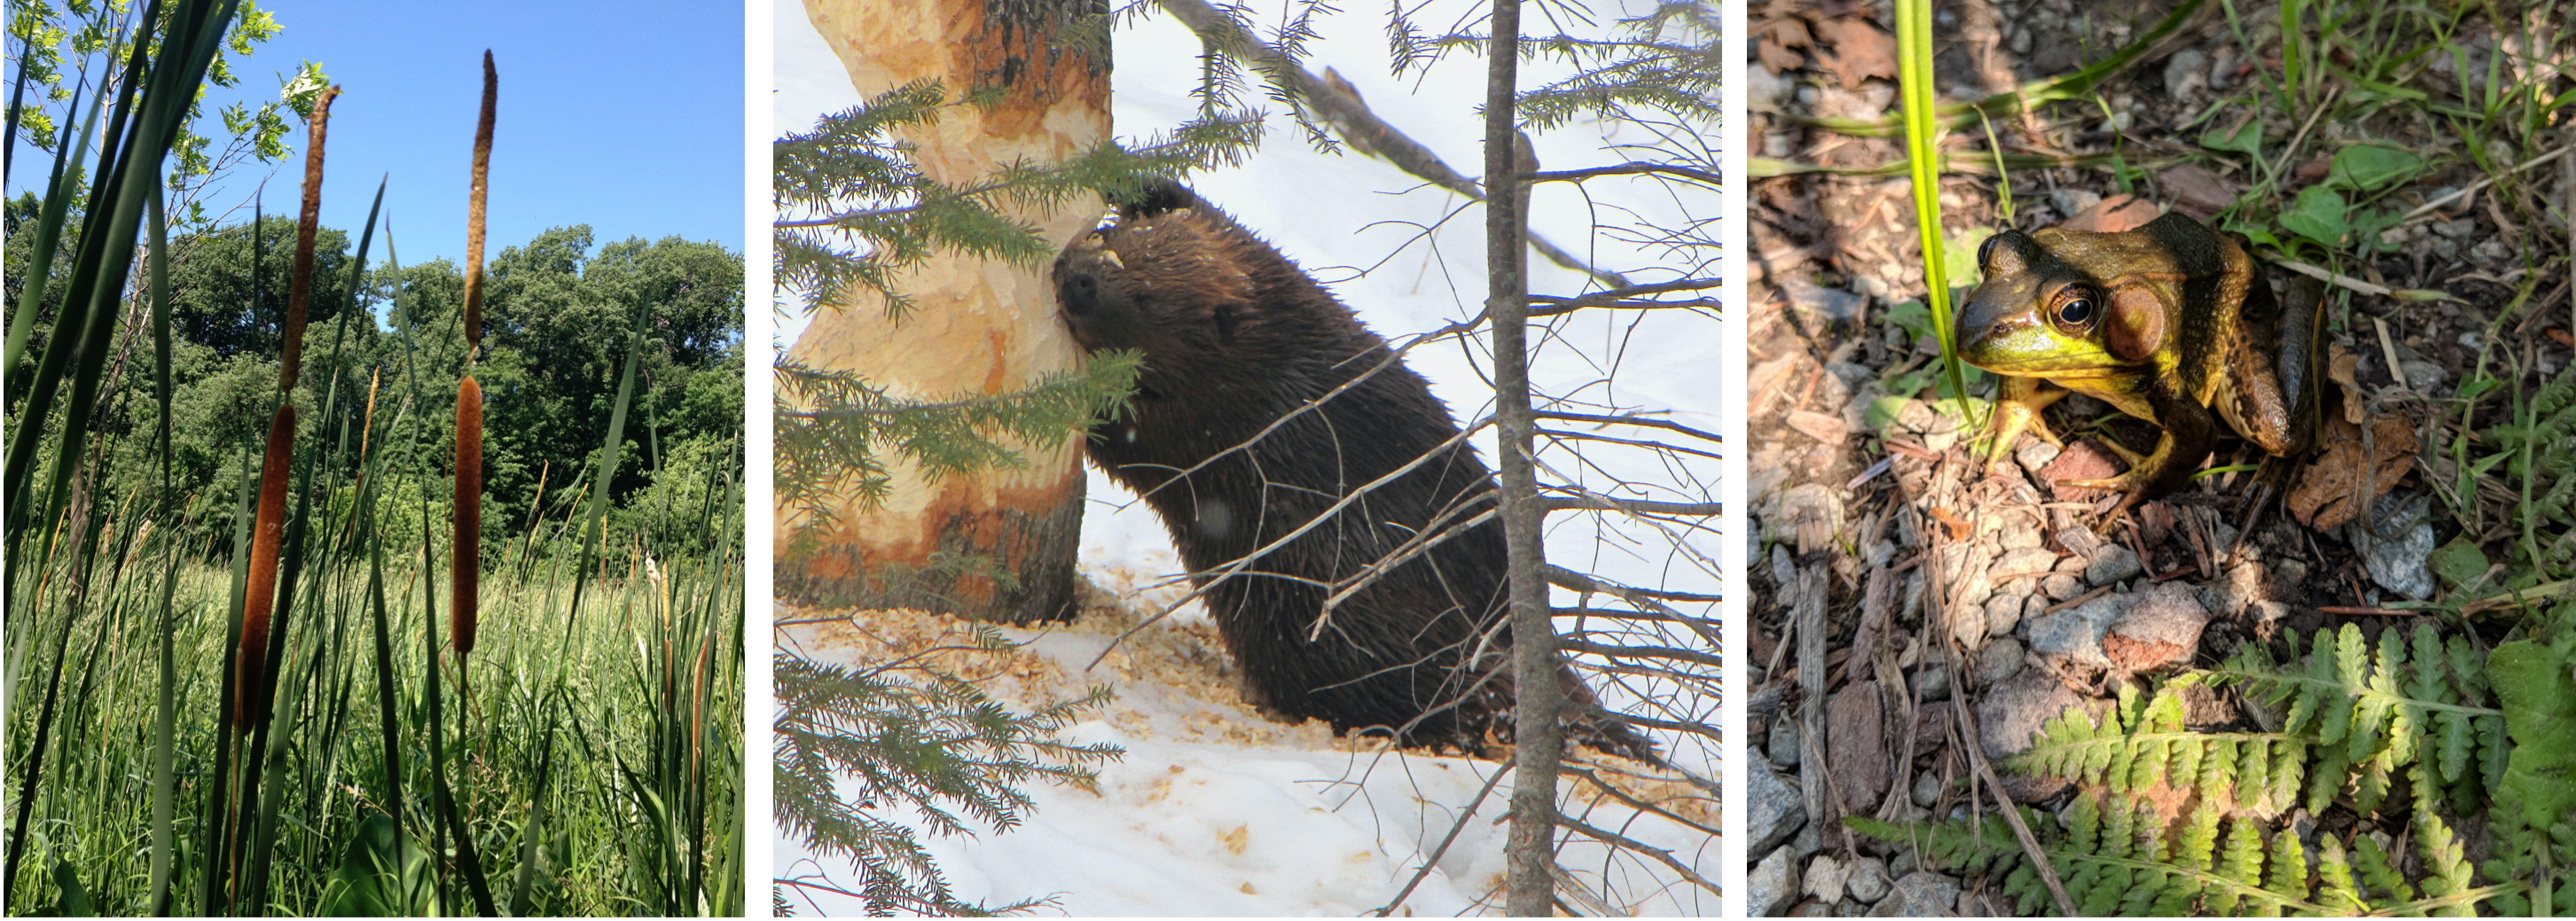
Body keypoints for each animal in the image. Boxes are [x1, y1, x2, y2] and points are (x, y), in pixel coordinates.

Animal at [1056, 180, 1658, 761]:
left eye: (1147, 299)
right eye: (1114, 241)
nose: (1078, 281)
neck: (1266, 359)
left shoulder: (1214, 422)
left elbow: (1129, 433)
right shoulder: (1289, 292)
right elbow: (1230, 228)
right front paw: (1139, 175)